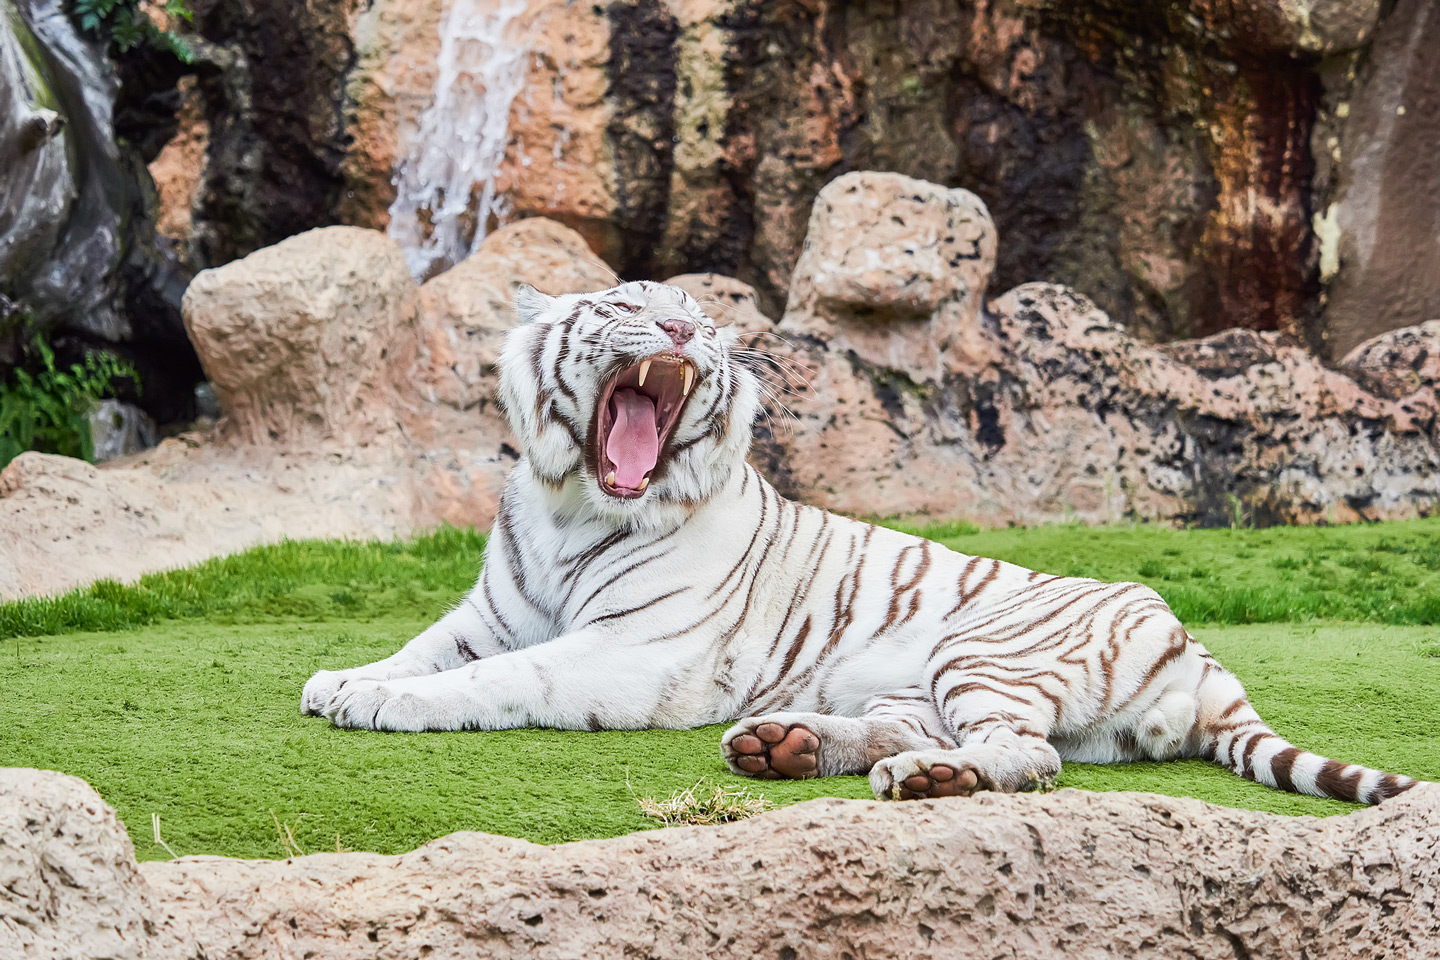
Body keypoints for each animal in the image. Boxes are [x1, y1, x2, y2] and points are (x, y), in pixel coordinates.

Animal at [303, 279, 1416, 805]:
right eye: (625, 306)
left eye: (703, 322)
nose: (682, 338)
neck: (576, 502)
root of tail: (1207, 658)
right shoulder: (494, 612)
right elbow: (427, 647)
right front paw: (342, 678)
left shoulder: (627, 654)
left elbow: (498, 679)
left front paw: (383, 705)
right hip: (910, 686)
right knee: (923, 732)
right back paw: (783, 744)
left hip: (986, 649)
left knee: (1024, 756)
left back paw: (916, 780)